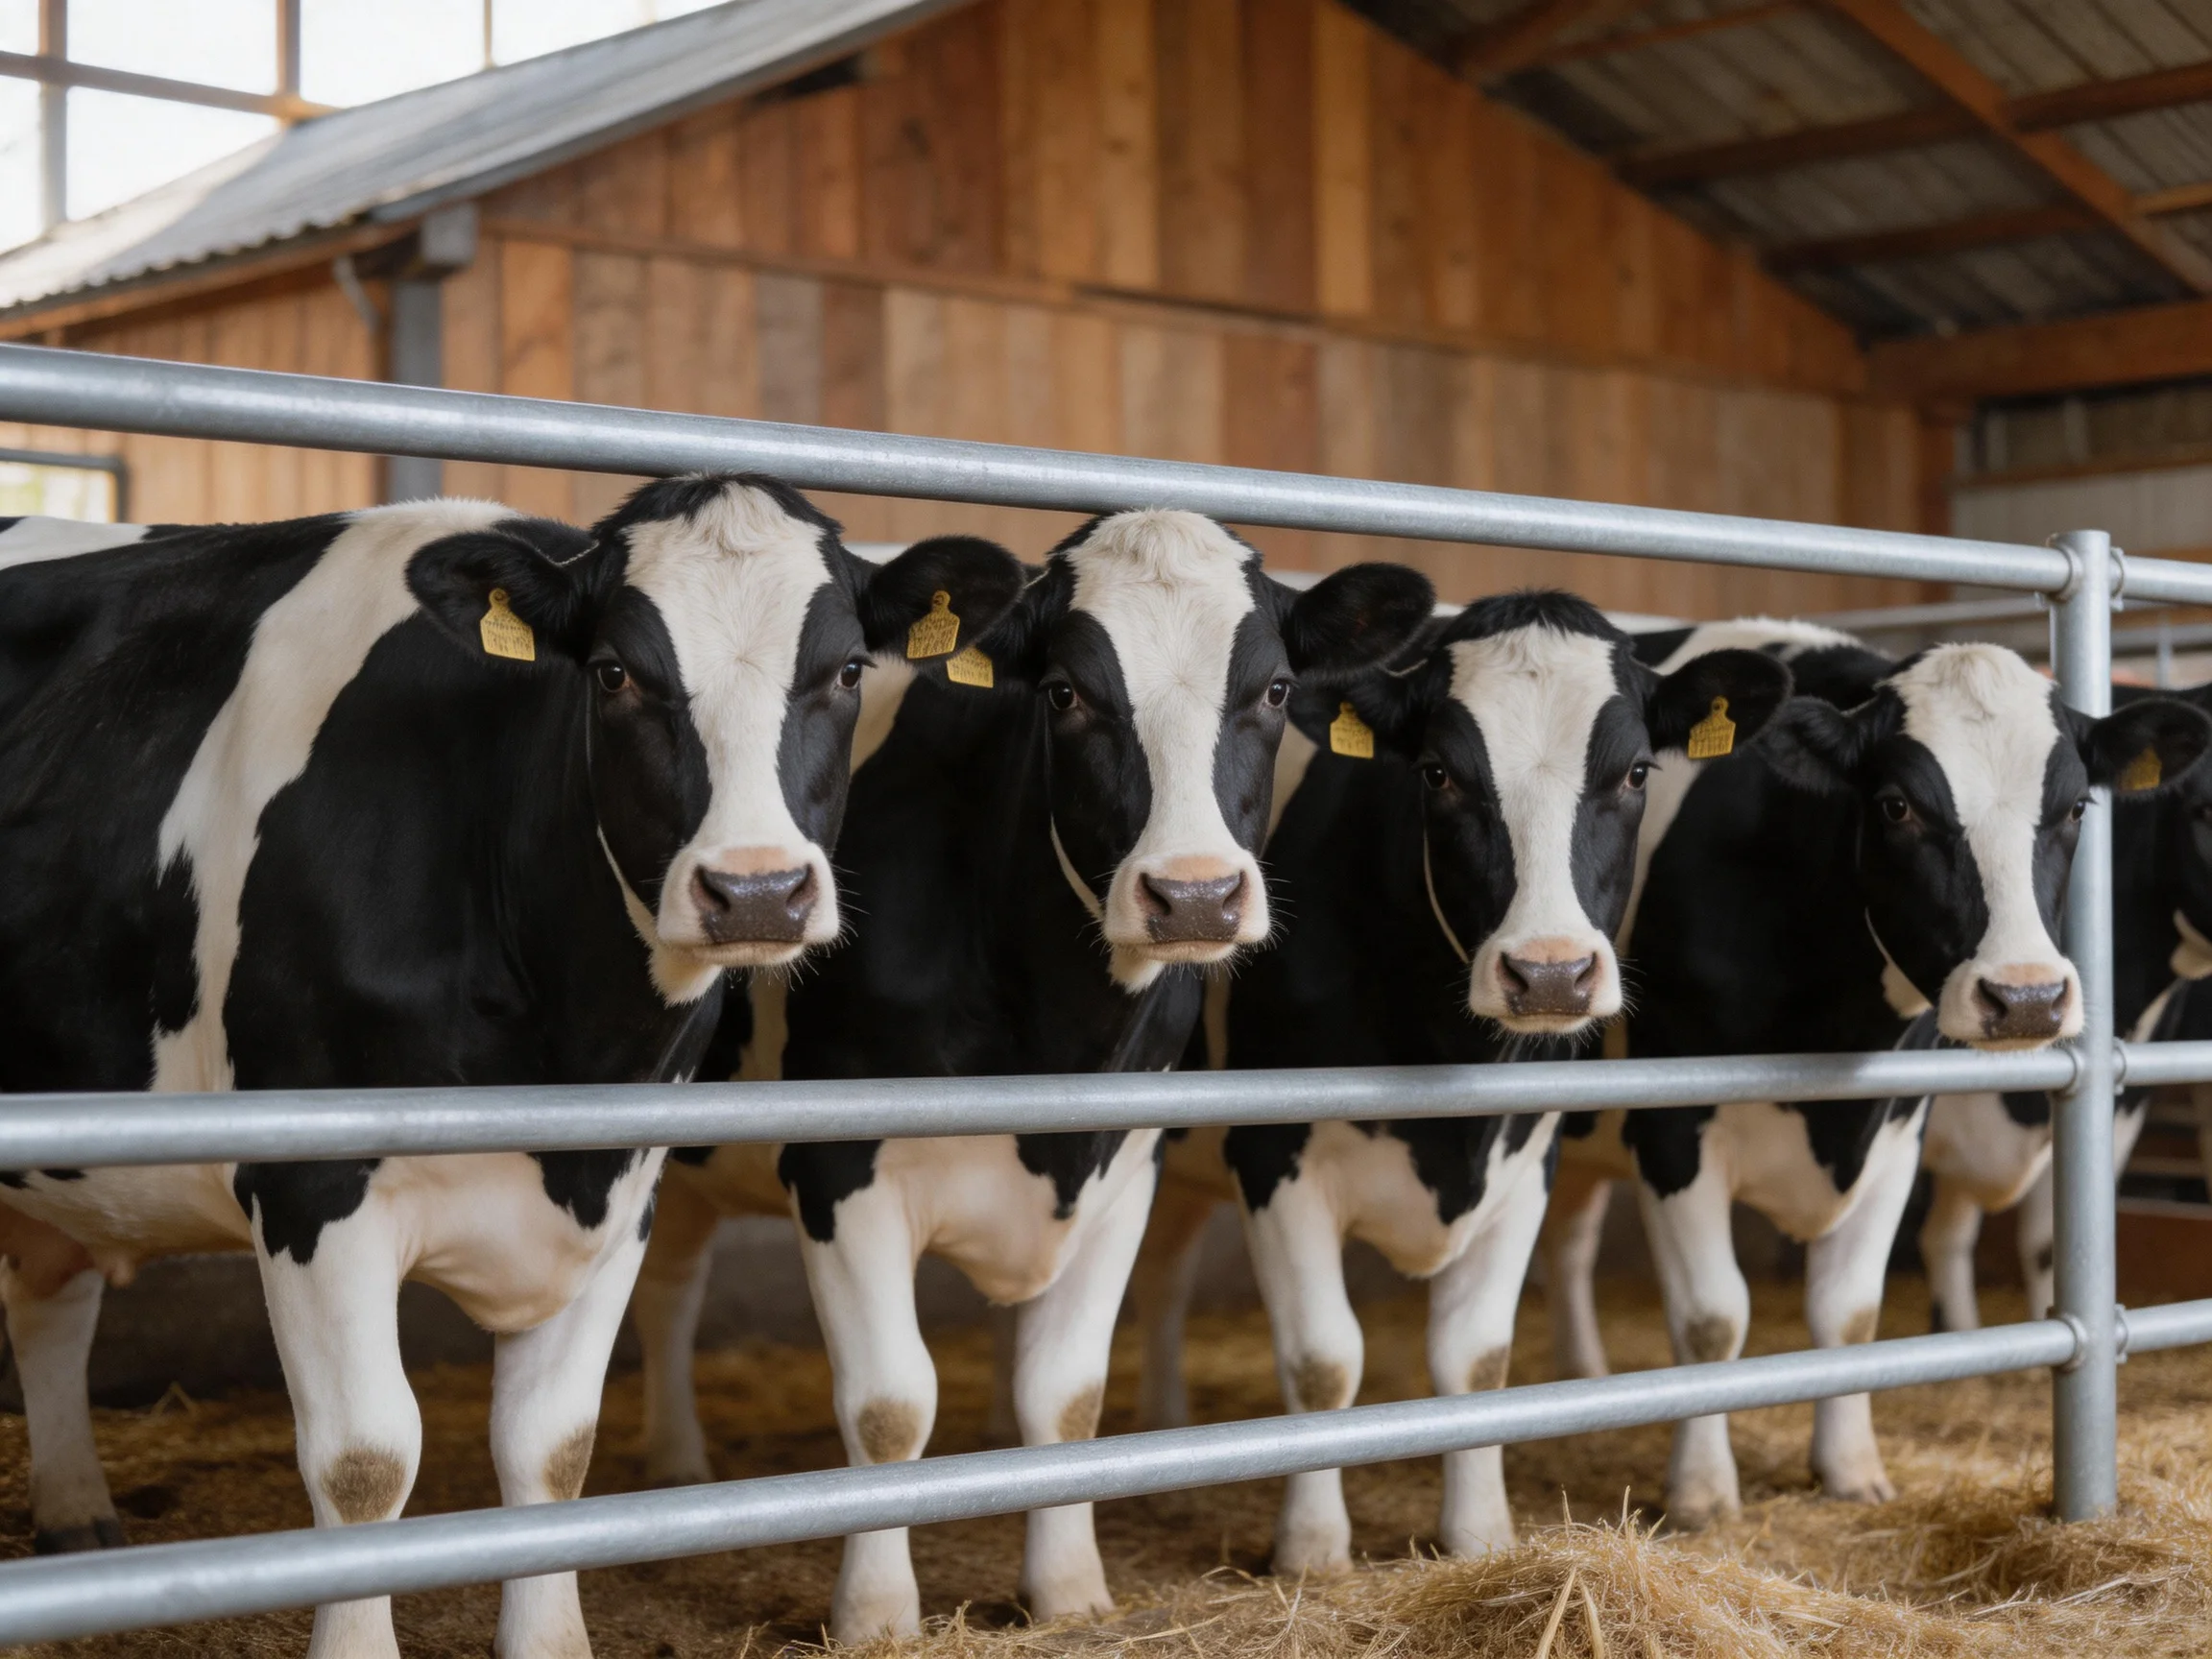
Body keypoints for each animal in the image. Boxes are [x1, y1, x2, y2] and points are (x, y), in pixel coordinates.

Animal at [0, 482, 1022, 1659]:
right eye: (615, 673)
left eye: (850, 670)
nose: (757, 892)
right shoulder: (308, 1185)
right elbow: (363, 1461)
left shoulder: (621, 1187)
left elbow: (550, 1448)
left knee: (48, 1297)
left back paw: (78, 1520)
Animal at [626, 510, 1437, 1640]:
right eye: (1064, 693)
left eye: (1275, 691)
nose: (1196, 897)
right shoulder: (837, 1165)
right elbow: (890, 1403)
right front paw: (876, 1614)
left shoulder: (1121, 1167)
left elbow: (1063, 1393)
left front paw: (1068, 1591)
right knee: (668, 1288)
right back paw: (675, 1464)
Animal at [1124, 591, 1794, 1572]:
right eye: (1438, 773)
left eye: (1636, 773)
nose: (1551, 975)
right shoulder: (1273, 1151)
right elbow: (1322, 1358)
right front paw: (1313, 1549)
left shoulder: (1525, 1155)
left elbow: (1476, 1359)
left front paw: (1480, 1535)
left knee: (1166, 1275)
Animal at [1536, 622, 2209, 1529]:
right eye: (1897, 806)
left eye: (2074, 809)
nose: (2027, 997)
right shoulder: (1672, 1123)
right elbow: (1712, 1316)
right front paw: (1704, 1492)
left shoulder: (1906, 1120)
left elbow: (1857, 1311)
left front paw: (1852, 1468)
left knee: (1569, 1242)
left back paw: (1585, 1374)